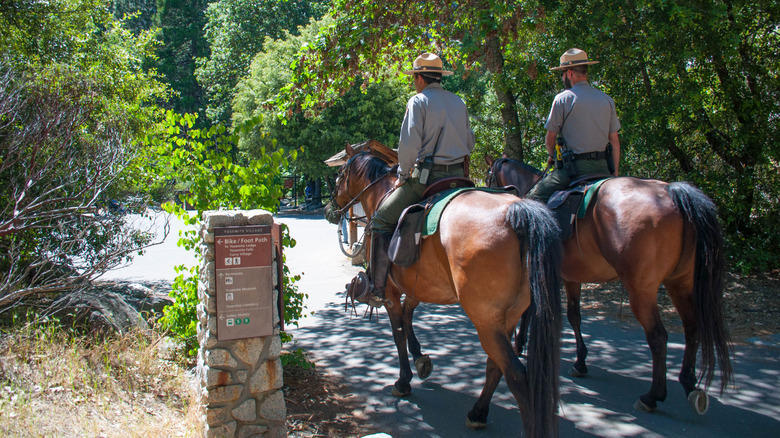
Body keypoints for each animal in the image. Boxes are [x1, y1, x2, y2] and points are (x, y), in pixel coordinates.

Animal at [328, 143, 560, 434]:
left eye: (340, 176)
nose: (330, 209)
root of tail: (517, 212)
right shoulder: (418, 288)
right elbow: (408, 317)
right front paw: (420, 357)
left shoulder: (390, 293)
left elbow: (398, 332)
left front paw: (403, 380)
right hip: (507, 318)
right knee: (496, 366)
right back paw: (478, 412)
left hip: (486, 321)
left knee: (516, 375)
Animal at [484, 156, 736, 416]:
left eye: (488, 175)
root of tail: (672, 191)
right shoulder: (571, 277)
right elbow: (573, 315)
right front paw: (580, 361)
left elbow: (538, 313)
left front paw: (521, 344)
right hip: (680, 282)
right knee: (692, 327)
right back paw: (689, 383)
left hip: (641, 289)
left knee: (658, 336)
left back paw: (652, 396)